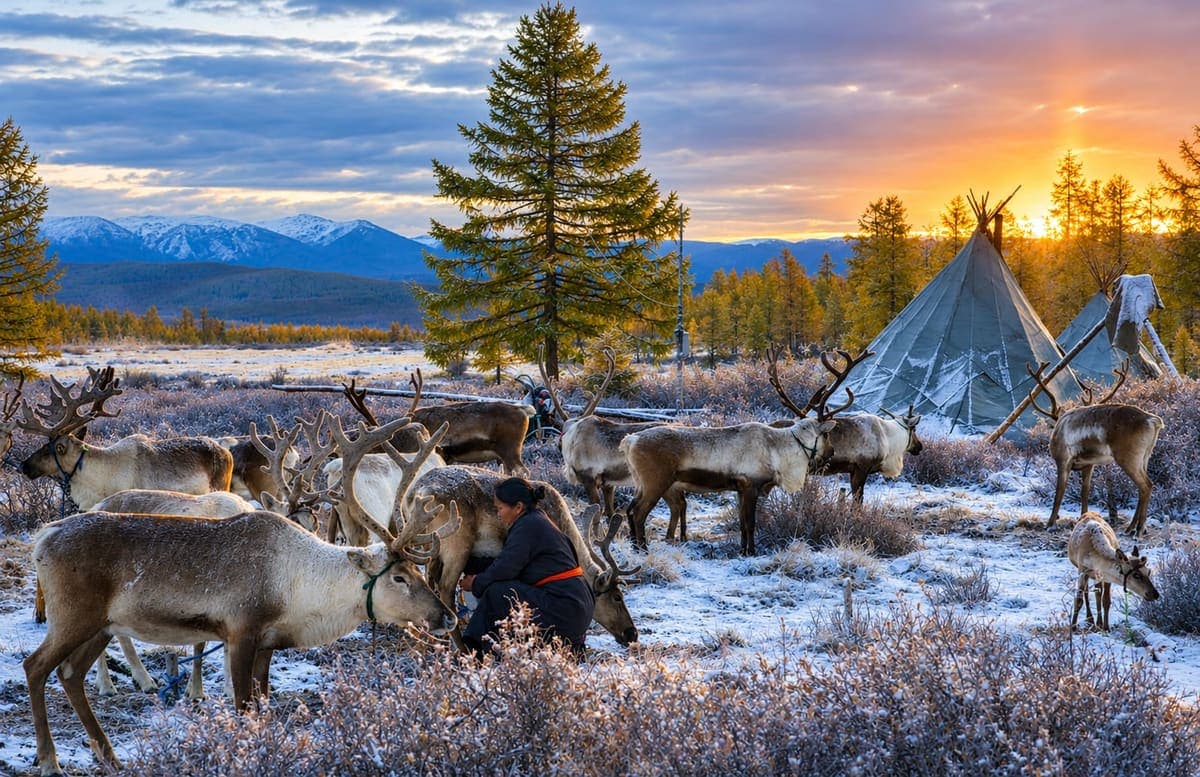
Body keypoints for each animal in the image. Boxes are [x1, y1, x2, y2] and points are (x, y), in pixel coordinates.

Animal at [24, 410, 458, 777]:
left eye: (416, 571)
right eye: (399, 577)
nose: (447, 616)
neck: (300, 586)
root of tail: (44, 535)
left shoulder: (267, 643)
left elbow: (262, 704)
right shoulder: (240, 633)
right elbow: (243, 706)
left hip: (101, 626)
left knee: (69, 674)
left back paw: (110, 756)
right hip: (74, 618)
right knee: (36, 667)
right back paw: (50, 760)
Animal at [396, 464, 641, 647]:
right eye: (617, 597)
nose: (632, 633)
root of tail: (417, 493)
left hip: (430, 546)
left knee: (430, 584)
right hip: (456, 544)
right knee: (446, 590)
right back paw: (462, 647)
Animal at [770, 346, 923, 503]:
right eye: (915, 429)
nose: (920, 446)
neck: (888, 439)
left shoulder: (852, 470)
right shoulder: (862, 467)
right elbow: (858, 501)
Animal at [1027, 360, 1164, 536]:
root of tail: (1153, 421)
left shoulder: (1063, 459)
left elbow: (1059, 492)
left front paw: (1050, 523)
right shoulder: (1088, 464)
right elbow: (1085, 492)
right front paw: (1083, 518)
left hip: (1129, 457)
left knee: (1146, 485)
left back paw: (1138, 530)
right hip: (1145, 456)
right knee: (1143, 486)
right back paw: (1131, 527)